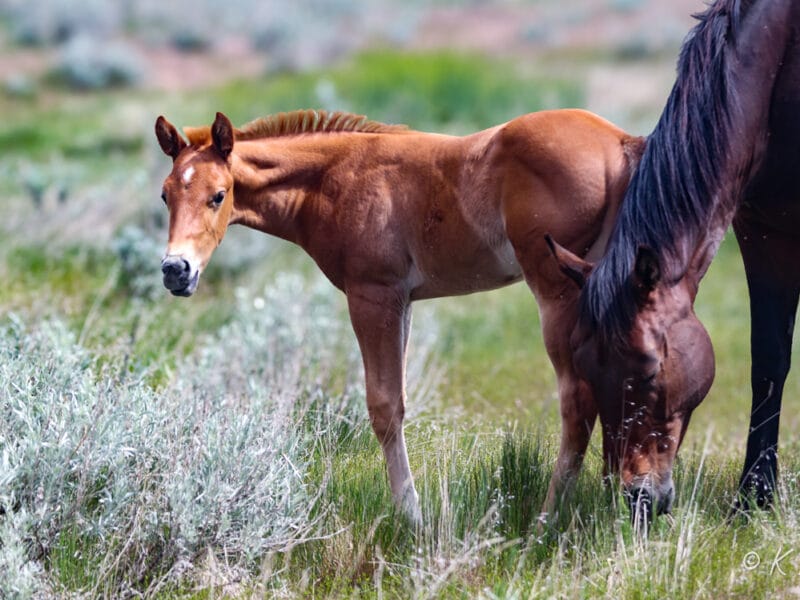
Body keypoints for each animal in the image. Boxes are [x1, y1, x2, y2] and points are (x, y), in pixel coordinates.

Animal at [155, 109, 644, 524]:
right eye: (165, 195)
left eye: (218, 195)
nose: (176, 270)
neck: (331, 180)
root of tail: (622, 141)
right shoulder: (403, 301)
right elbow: (400, 401)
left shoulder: (373, 295)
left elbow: (384, 406)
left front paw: (411, 515)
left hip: (556, 292)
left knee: (578, 400)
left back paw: (548, 519)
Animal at [552, 0, 800, 524]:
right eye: (585, 369)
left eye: (649, 371)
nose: (637, 499)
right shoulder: (765, 233)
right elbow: (770, 360)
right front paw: (754, 497)